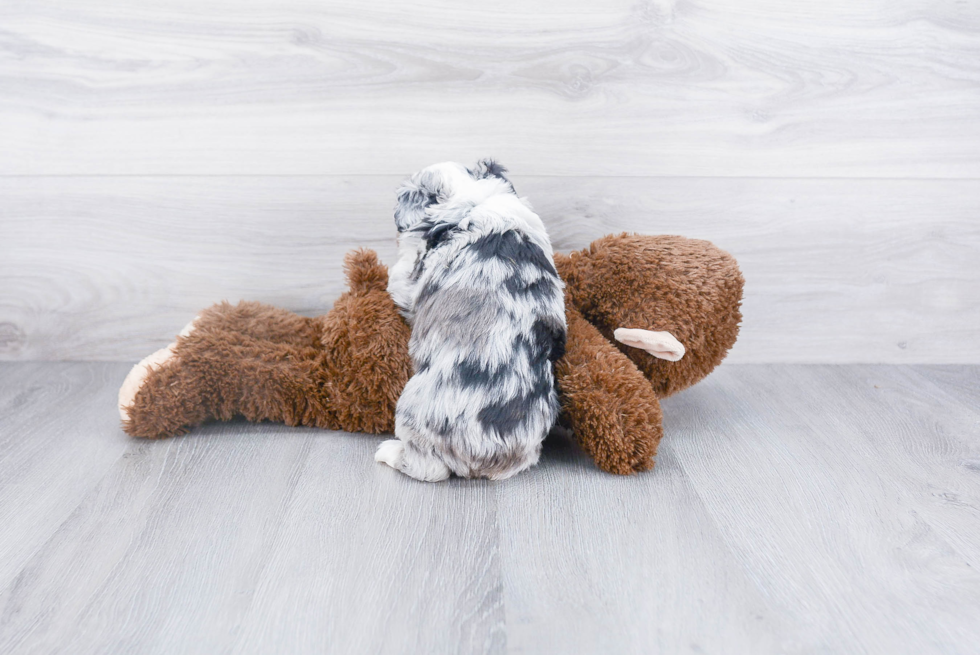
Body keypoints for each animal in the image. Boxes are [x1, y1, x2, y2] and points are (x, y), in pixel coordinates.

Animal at [376, 160, 568, 482]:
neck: (474, 201)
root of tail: (486, 459)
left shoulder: (410, 279)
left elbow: (399, 278)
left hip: (412, 410)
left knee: (427, 467)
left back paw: (389, 452)